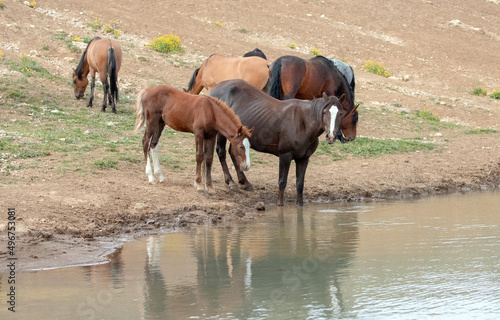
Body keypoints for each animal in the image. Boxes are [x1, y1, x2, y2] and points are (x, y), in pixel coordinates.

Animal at [208, 79, 344, 206]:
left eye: (340, 114)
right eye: (324, 112)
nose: (331, 136)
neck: (302, 123)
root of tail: (215, 87)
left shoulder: (303, 159)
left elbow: (300, 183)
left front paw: (299, 204)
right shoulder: (285, 155)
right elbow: (282, 181)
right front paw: (280, 203)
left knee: (233, 152)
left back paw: (245, 182)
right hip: (223, 131)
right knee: (221, 152)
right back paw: (230, 181)